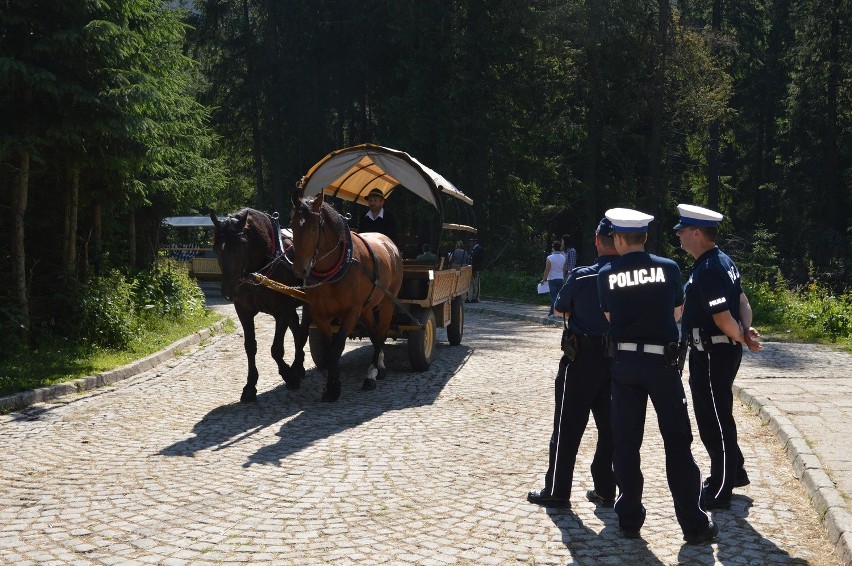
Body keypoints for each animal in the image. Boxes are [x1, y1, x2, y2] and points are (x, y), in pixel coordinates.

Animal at [209, 209, 310, 404]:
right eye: (216, 249)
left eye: (240, 247)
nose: (228, 291)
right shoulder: (243, 311)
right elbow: (250, 346)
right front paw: (250, 386)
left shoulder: (282, 311)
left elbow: (276, 349)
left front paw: (288, 376)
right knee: (296, 329)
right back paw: (298, 366)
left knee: (303, 332)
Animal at [290, 192, 402, 404]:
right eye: (292, 225)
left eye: (314, 227)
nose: (300, 269)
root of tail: (390, 245)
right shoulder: (319, 314)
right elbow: (329, 347)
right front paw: (330, 386)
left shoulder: (351, 312)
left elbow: (338, 346)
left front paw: (334, 387)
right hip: (366, 308)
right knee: (374, 334)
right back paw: (376, 368)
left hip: (387, 302)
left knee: (381, 332)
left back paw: (373, 374)